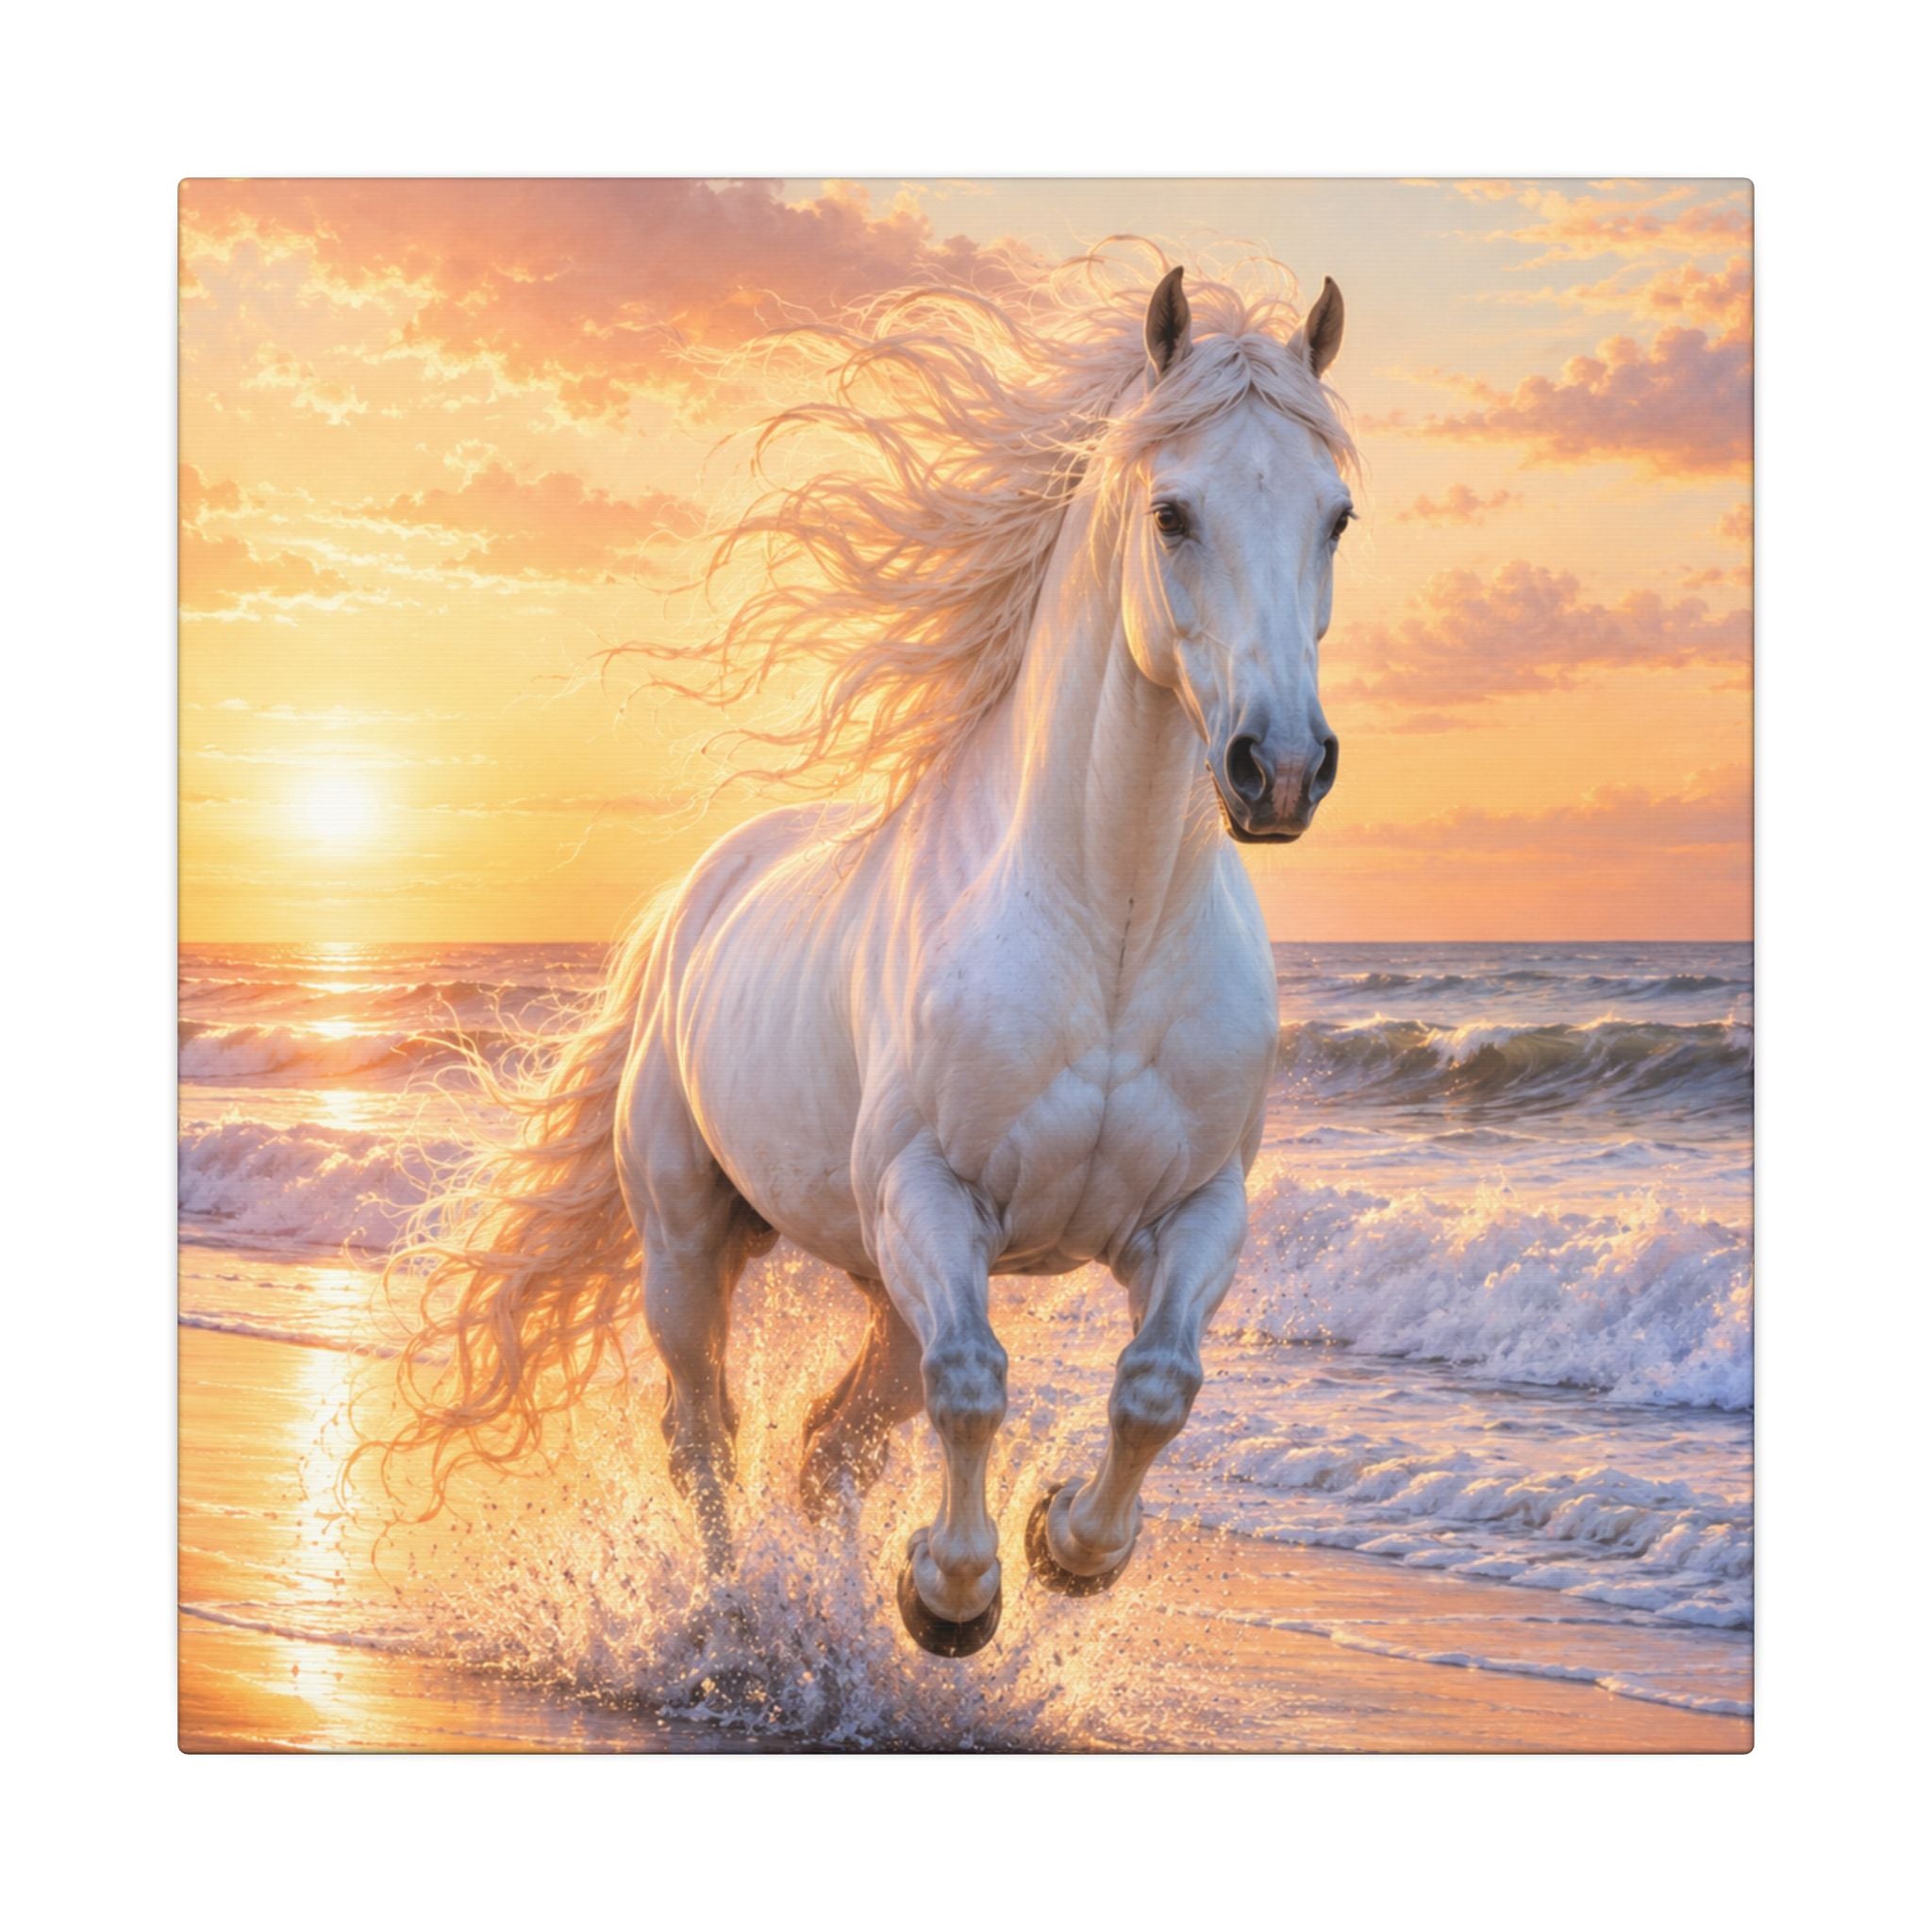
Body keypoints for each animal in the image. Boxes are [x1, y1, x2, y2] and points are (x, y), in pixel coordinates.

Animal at [381, 256, 1357, 1658]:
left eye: (1335, 516)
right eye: (1173, 513)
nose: (1277, 768)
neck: (1107, 934)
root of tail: (690, 899)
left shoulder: (1193, 1210)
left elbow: (1156, 1387)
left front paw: (1065, 1546)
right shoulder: (927, 1197)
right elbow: (972, 1390)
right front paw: (950, 1594)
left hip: (881, 1281)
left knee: (826, 1448)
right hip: (693, 1239)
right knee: (708, 1434)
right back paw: (737, 1622)